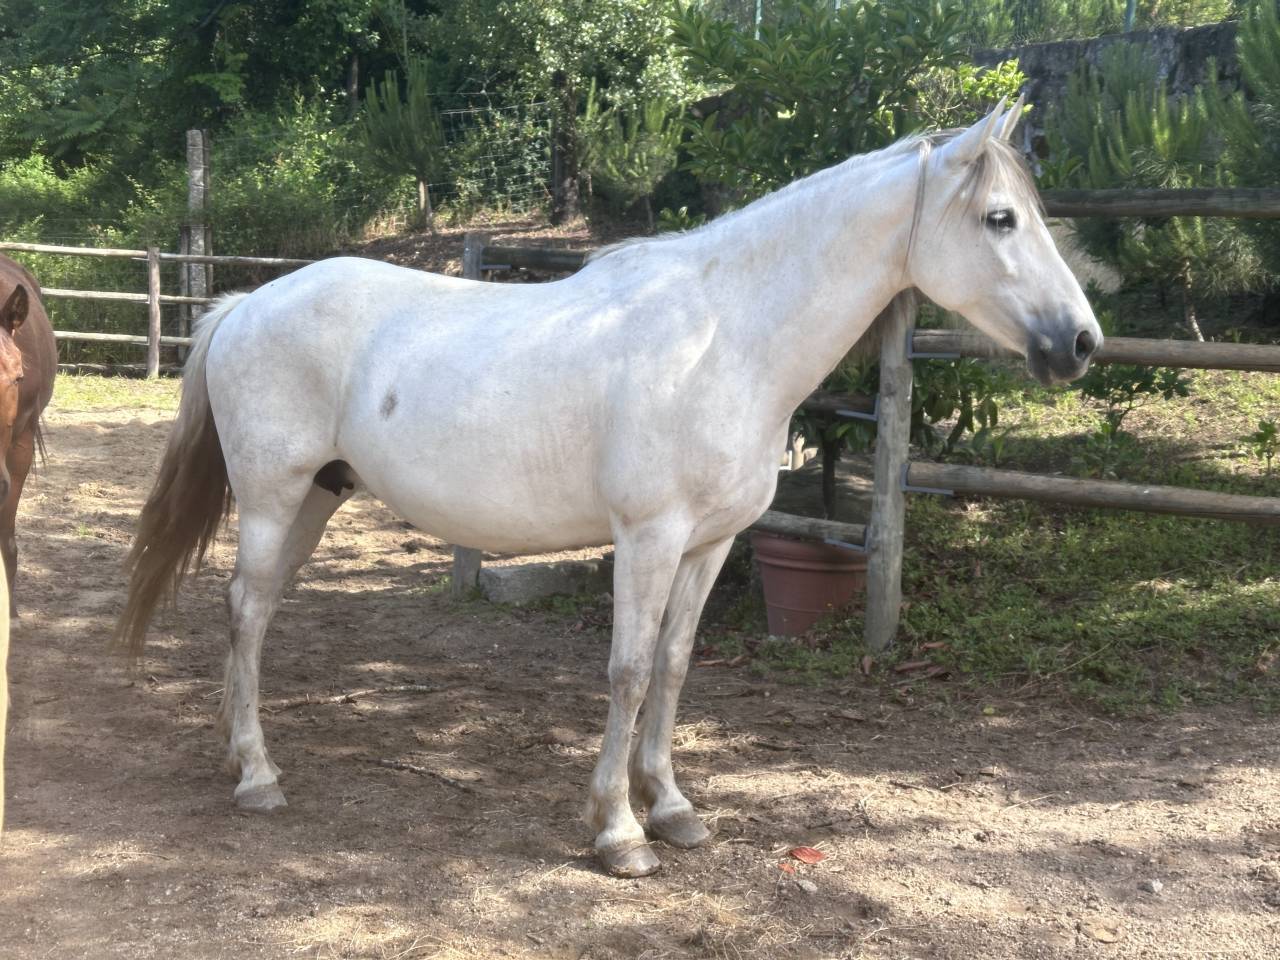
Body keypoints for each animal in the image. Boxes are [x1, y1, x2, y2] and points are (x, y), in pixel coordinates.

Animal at [116, 101, 1101, 877]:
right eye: (1002, 219)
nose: (1082, 342)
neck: (724, 338)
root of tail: (244, 304)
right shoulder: (649, 536)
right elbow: (627, 673)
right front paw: (619, 833)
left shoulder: (710, 543)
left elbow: (673, 666)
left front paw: (672, 809)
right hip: (274, 497)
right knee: (246, 611)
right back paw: (258, 777)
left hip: (317, 498)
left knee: (258, 610)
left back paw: (243, 758)